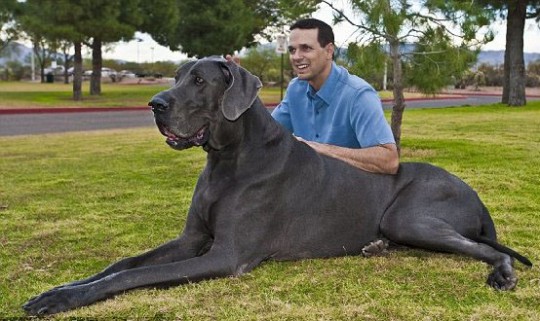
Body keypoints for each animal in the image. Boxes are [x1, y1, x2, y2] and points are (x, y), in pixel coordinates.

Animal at [23, 56, 528, 314]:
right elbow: (122, 263)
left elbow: (134, 276)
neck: (227, 160)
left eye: (199, 81)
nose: (155, 104)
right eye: (176, 76)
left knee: (490, 249)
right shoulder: (191, 239)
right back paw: (375, 247)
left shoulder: (226, 255)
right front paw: (58, 289)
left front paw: (66, 299)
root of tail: (477, 196)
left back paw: (502, 273)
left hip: (409, 216)